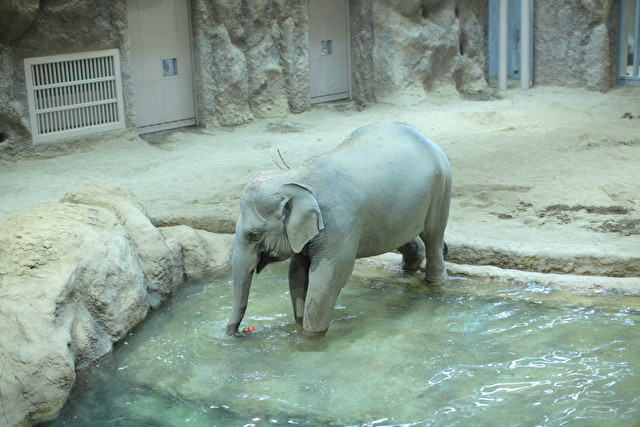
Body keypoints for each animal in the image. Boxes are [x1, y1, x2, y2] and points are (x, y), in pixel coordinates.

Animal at [228, 121, 452, 338]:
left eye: (254, 235)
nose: (239, 333)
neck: (294, 177)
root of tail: (425, 136)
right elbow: (297, 272)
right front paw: (298, 325)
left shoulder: (338, 224)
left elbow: (328, 277)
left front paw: (311, 337)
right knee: (401, 235)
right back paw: (410, 267)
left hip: (441, 185)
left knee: (433, 235)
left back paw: (435, 283)